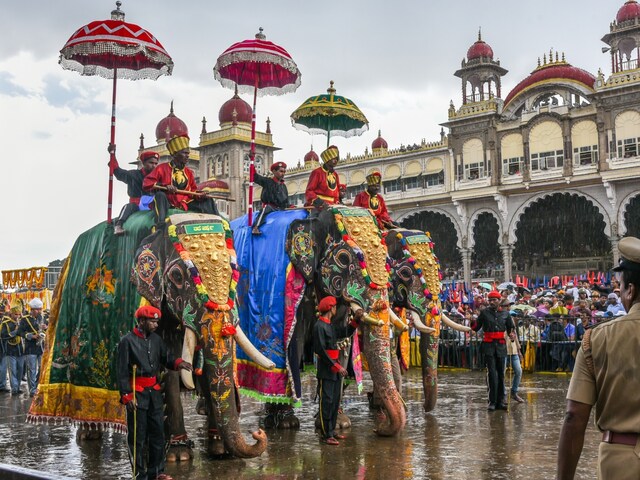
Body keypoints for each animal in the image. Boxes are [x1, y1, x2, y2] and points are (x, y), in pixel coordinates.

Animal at [28, 212, 270, 460]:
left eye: (234, 272)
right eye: (177, 276)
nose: (258, 433)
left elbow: (203, 370)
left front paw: (219, 450)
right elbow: (169, 370)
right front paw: (178, 454)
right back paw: (89, 434)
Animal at [232, 204, 408, 436]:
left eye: (387, 261)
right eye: (345, 259)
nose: (379, 429)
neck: (314, 215)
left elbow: (340, 343)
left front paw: (340, 423)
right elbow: (295, 345)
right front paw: (286, 423)